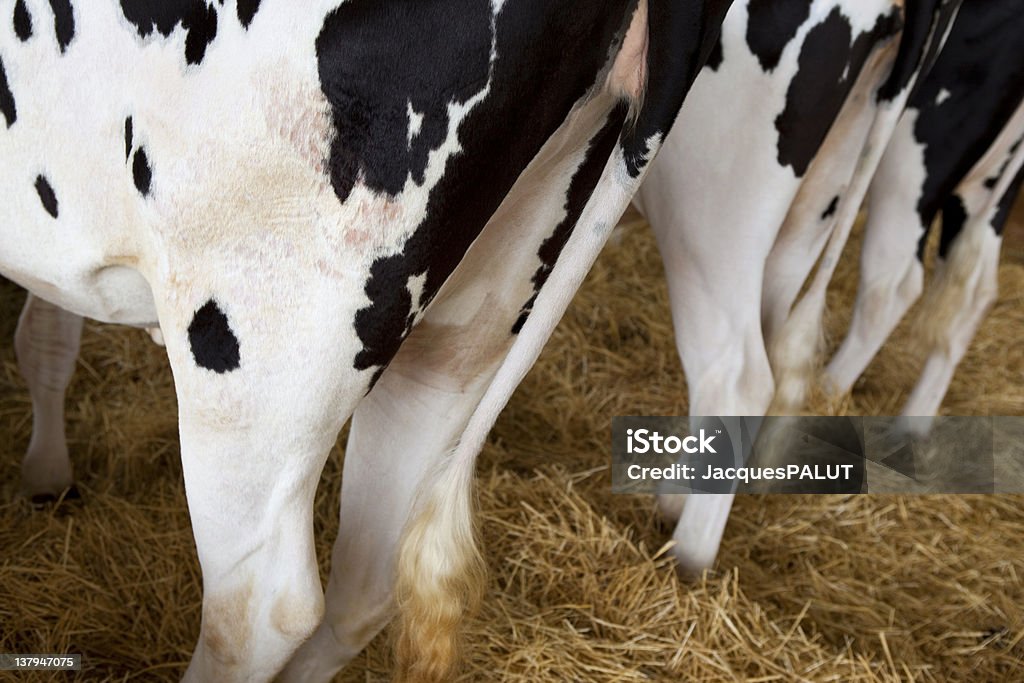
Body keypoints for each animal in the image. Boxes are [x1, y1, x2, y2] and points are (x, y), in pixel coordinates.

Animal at [2, 1, 737, 683]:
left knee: (263, 606)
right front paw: (46, 473)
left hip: (252, 351)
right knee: (371, 576)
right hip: (473, 317)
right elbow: (46, 331)